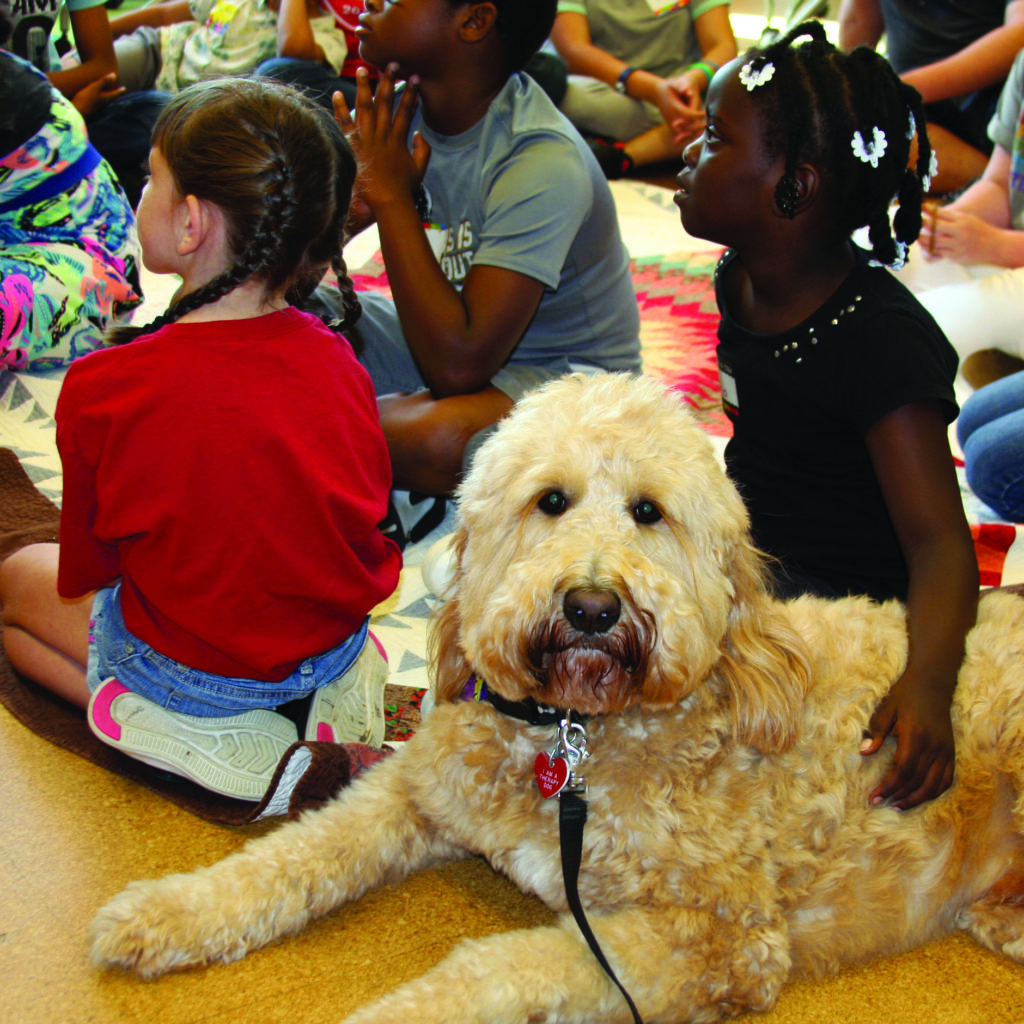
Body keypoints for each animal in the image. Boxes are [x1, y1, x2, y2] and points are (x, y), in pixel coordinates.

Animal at [90, 372, 1024, 1019]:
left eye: (649, 511)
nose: (591, 606)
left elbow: (499, 967)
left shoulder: (721, 938)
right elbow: (291, 856)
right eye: (550, 500)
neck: (573, 739)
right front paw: (167, 911)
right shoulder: (414, 790)